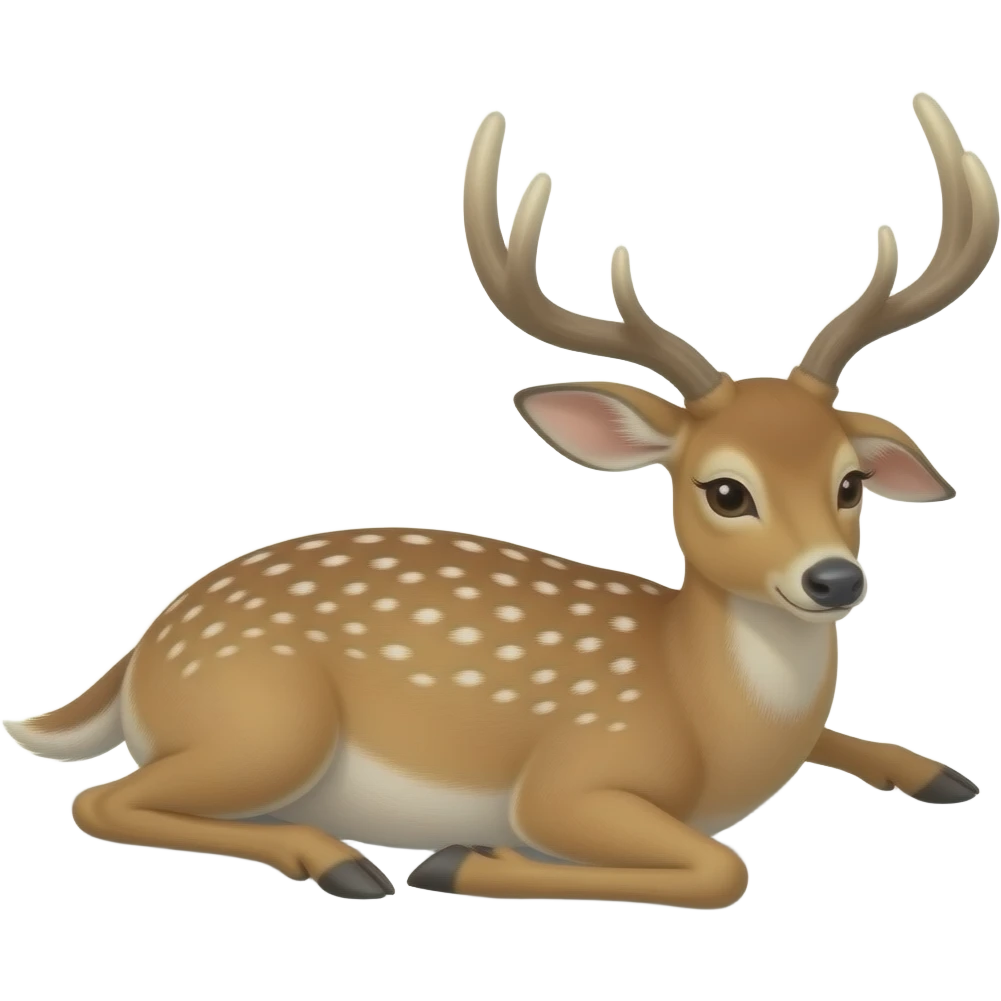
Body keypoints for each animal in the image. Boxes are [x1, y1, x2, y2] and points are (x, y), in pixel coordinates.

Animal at [2, 93, 994, 909]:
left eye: (850, 481)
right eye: (725, 489)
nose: (833, 580)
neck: (711, 719)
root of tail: (147, 647)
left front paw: (937, 772)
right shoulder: (570, 776)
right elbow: (721, 864)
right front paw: (456, 860)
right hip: (265, 716)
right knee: (98, 798)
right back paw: (344, 862)